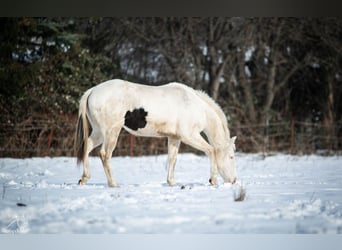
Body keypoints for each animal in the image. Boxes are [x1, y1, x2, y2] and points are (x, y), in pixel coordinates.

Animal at [74, 79, 238, 187]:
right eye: (231, 156)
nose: (234, 180)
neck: (195, 106)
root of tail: (92, 91)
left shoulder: (174, 138)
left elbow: (172, 159)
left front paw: (171, 182)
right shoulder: (189, 136)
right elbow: (211, 151)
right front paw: (213, 180)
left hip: (99, 132)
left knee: (87, 147)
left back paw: (84, 178)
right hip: (111, 133)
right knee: (105, 155)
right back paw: (113, 183)